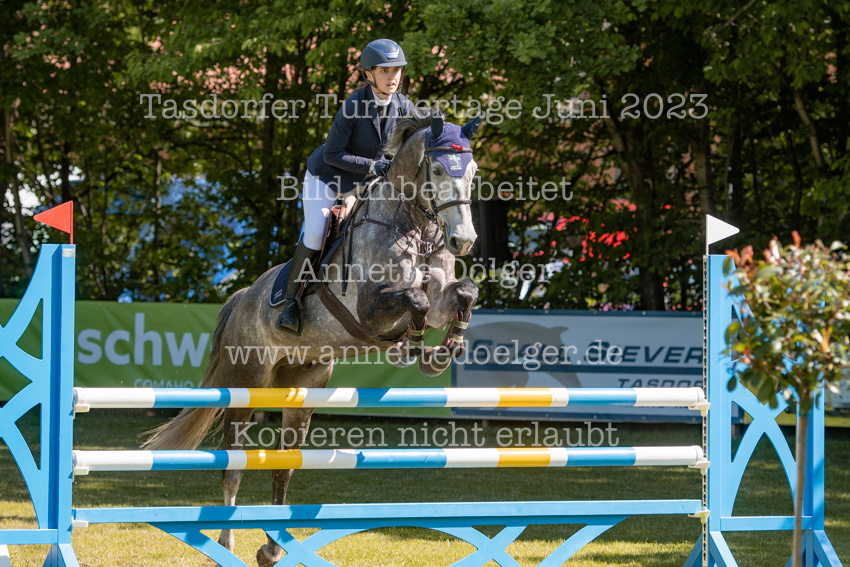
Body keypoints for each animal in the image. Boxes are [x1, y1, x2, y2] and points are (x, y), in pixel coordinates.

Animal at [143, 112, 481, 566]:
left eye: (473, 173)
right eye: (440, 170)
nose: (464, 241)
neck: (414, 227)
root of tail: (240, 297)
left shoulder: (442, 294)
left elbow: (463, 293)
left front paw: (444, 351)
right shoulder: (370, 311)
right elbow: (415, 300)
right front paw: (413, 347)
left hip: (301, 392)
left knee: (283, 465)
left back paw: (271, 548)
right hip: (246, 385)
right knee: (233, 468)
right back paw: (225, 546)